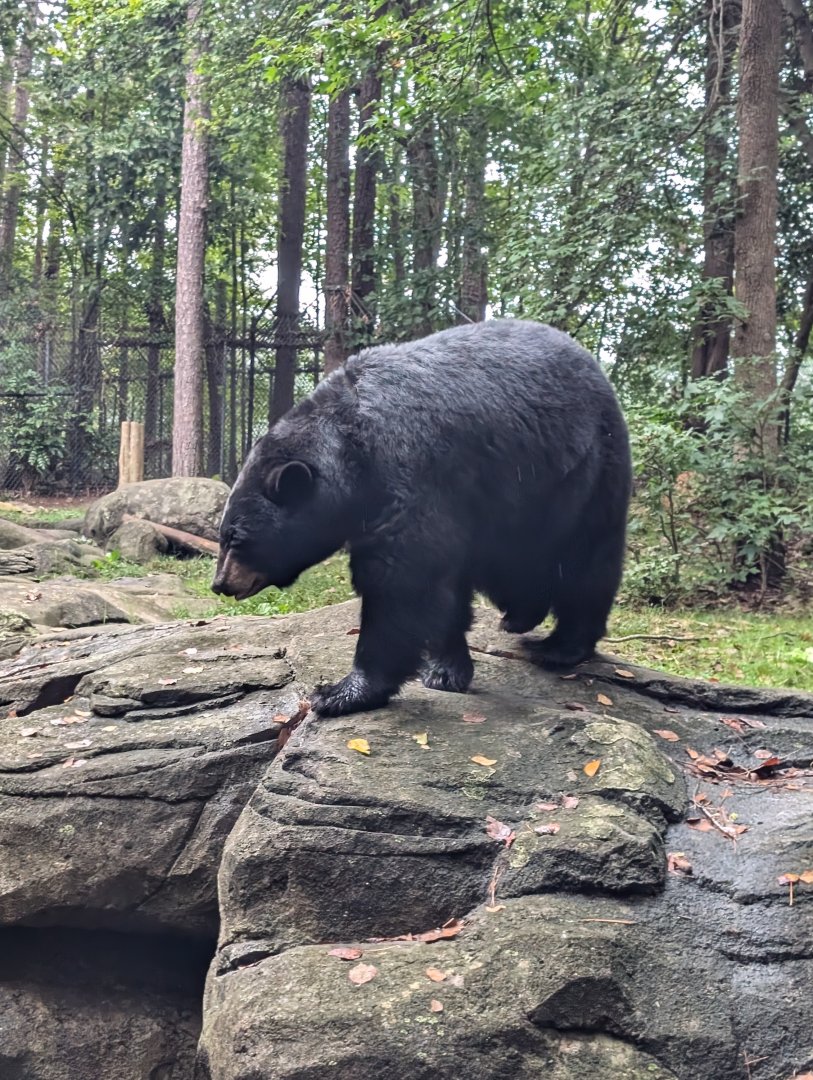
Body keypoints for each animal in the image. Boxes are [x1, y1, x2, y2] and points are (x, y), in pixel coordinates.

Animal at [212, 319, 632, 717]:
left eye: (236, 538)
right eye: (223, 534)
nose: (221, 584)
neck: (352, 446)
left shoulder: (412, 469)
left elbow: (403, 579)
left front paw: (340, 692)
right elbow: (442, 586)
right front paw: (444, 670)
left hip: (587, 472)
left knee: (585, 559)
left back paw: (560, 646)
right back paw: (518, 617)